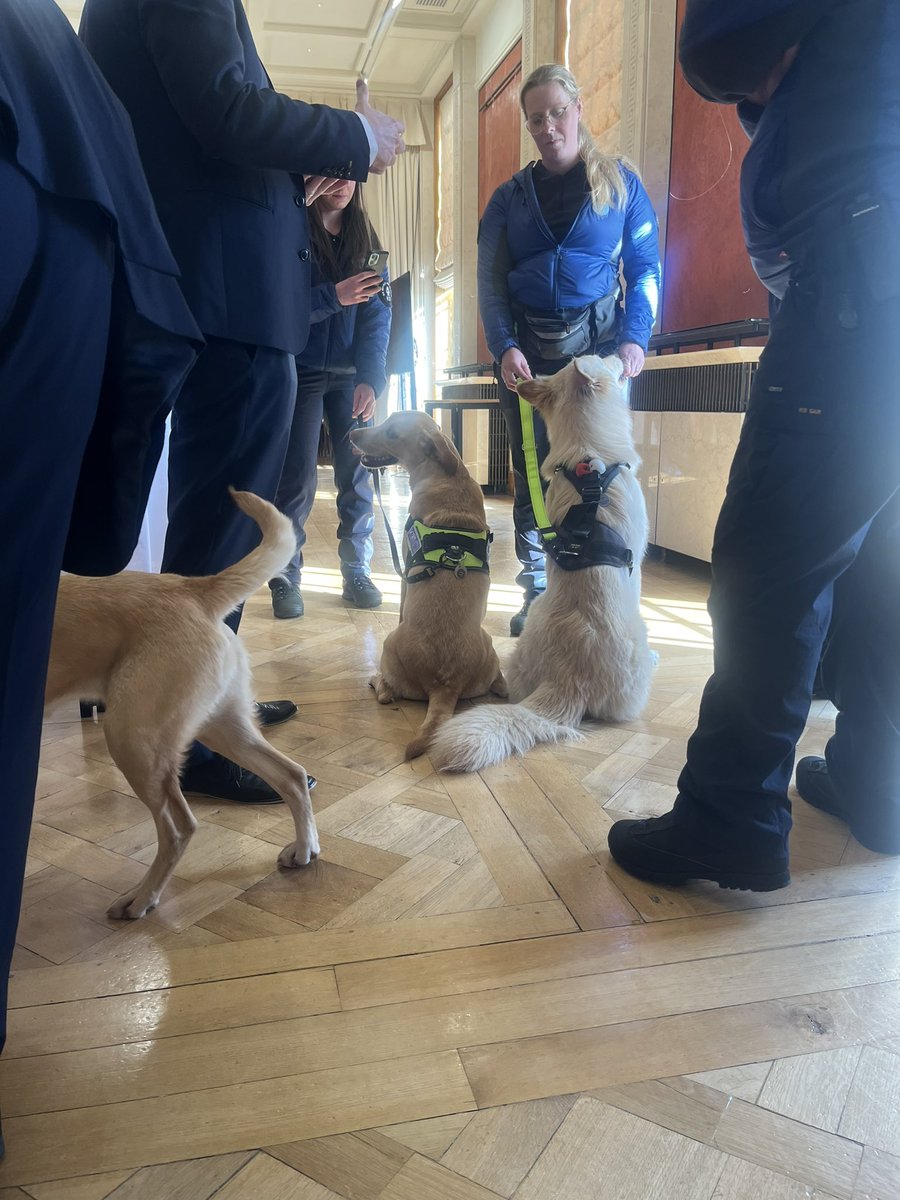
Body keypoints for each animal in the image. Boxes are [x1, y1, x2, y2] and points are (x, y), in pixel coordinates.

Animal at [46, 487, 321, 916]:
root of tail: (193, 589)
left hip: (131, 737)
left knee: (179, 828)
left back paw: (141, 898)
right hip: (220, 725)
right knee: (290, 775)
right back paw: (304, 849)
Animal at [350, 408, 508, 753]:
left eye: (391, 432)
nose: (352, 433)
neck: (446, 479)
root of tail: (445, 685)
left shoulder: (404, 578)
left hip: (388, 643)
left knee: (385, 691)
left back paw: (377, 681)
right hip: (489, 642)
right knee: (500, 683)